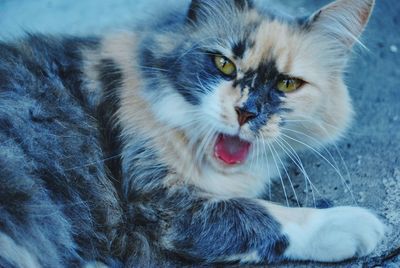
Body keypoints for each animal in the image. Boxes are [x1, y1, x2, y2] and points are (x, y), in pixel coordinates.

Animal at [0, 0, 384, 266]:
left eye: (287, 84)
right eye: (224, 64)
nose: (245, 112)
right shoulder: (158, 204)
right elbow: (260, 214)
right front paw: (356, 224)